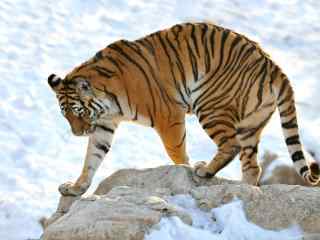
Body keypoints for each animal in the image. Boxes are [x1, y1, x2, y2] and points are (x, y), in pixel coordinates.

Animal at [48, 22, 320, 197]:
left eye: (78, 111)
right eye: (65, 114)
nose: (77, 133)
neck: (107, 102)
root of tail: (272, 64)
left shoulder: (168, 115)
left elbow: (176, 152)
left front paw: (185, 171)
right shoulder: (104, 125)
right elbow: (92, 158)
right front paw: (76, 188)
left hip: (210, 104)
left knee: (230, 146)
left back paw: (204, 171)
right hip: (251, 124)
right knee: (252, 164)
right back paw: (244, 190)